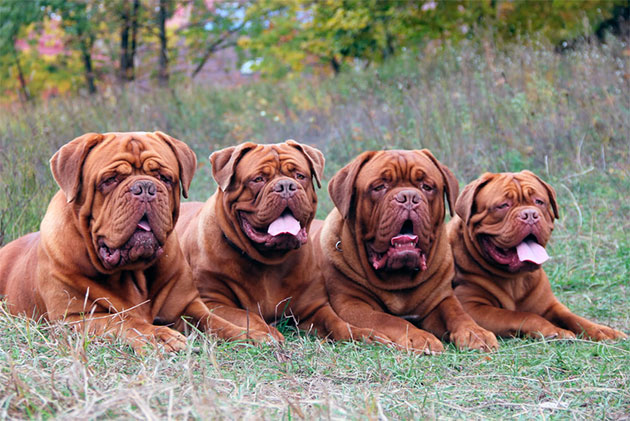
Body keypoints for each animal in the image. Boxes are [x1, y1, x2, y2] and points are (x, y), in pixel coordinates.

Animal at [0, 130, 247, 352]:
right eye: (110, 179)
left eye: (164, 177)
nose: (145, 187)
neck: (133, 272)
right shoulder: (75, 317)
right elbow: (123, 321)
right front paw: (159, 336)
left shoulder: (187, 305)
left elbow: (217, 321)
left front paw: (250, 334)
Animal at [175, 139, 378, 342]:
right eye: (258, 179)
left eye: (300, 176)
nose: (286, 186)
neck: (269, 262)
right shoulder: (213, 302)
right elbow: (248, 316)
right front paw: (267, 335)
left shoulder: (315, 307)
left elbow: (337, 322)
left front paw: (363, 334)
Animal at [314, 149, 502, 352]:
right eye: (379, 187)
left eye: (427, 187)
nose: (409, 197)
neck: (398, 279)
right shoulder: (351, 305)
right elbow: (390, 320)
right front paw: (419, 336)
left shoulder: (441, 299)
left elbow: (457, 312)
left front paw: (475, 332)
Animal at [446, 169, 628, 340]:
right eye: (503, 205)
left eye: (539, 202)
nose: (530, 215)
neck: (514, 279)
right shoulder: (472, 307)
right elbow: (523, 316)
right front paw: (556, 331)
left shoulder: (550, 305)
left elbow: (573, 317)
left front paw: (603, 331)